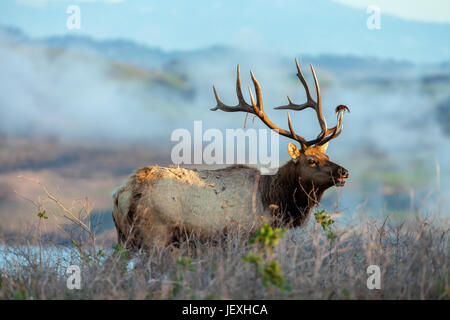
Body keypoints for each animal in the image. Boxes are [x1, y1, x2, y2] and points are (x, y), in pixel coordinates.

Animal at [110, 59, 350, 250]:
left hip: (125, 238)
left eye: (327, 157)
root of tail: (120, 194)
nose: (344, 172)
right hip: (155, 233)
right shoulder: (246, 236)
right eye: (311, 160)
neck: (273, 203)